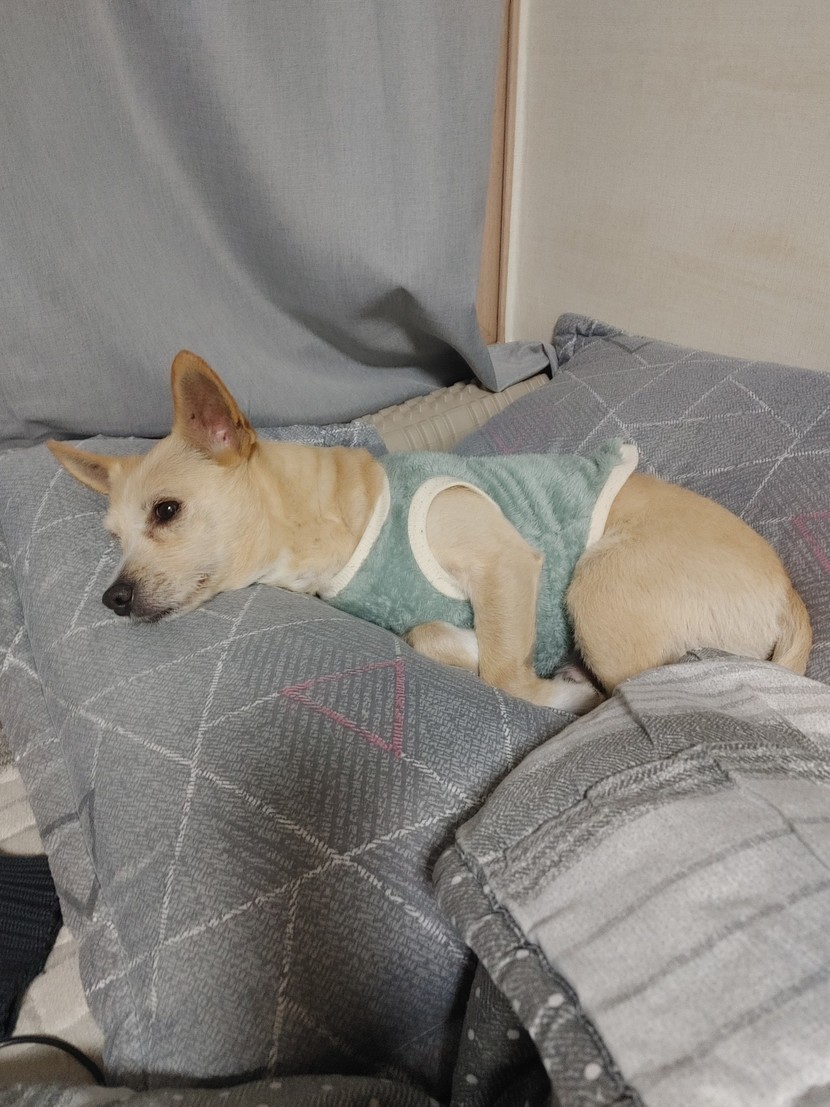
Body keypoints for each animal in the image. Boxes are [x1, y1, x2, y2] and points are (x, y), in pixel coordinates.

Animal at [48, 350, 812, 715]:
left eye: (166, 512)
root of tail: (789, 597)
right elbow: (429, 633)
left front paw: (547, 686)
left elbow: (504, 673)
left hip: (599, 587)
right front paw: (467, 646)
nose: (111, 599)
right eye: (113, 537)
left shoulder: (506, 560)